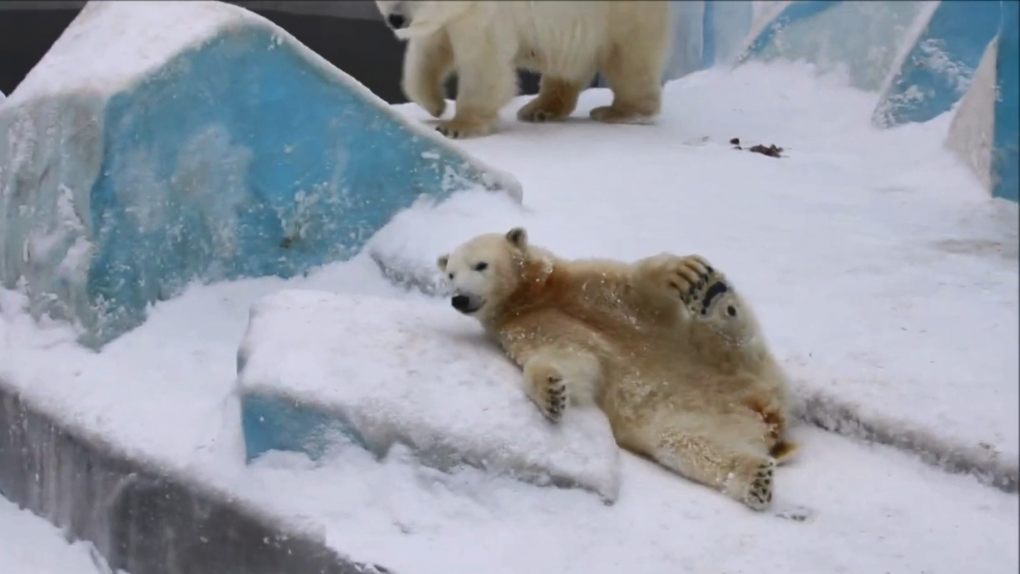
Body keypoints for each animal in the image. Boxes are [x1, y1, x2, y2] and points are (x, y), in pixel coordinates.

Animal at [373, 0, 669, 137]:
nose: (396, 18)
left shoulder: (485, 15)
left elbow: (484, 63)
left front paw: (457, 126)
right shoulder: (450, 19)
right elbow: (428, 52)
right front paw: (434, 105)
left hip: (621, 11)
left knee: (629, 56)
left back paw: (622, 111)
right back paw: (540, 109)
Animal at [438, 229, 795, 511]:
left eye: (480, 265)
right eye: (450, 274)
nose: (459, 298)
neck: (528, 298)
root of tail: (765, 412)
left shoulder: (578, 282)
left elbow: (631, 284)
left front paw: (684, 271)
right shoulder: (525, 328)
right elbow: (571, 360)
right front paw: (552, 391)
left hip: (731, 360)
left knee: (730, 333)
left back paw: (715, 295)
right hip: (689, 417)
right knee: (688, 444)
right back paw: (755, 478)